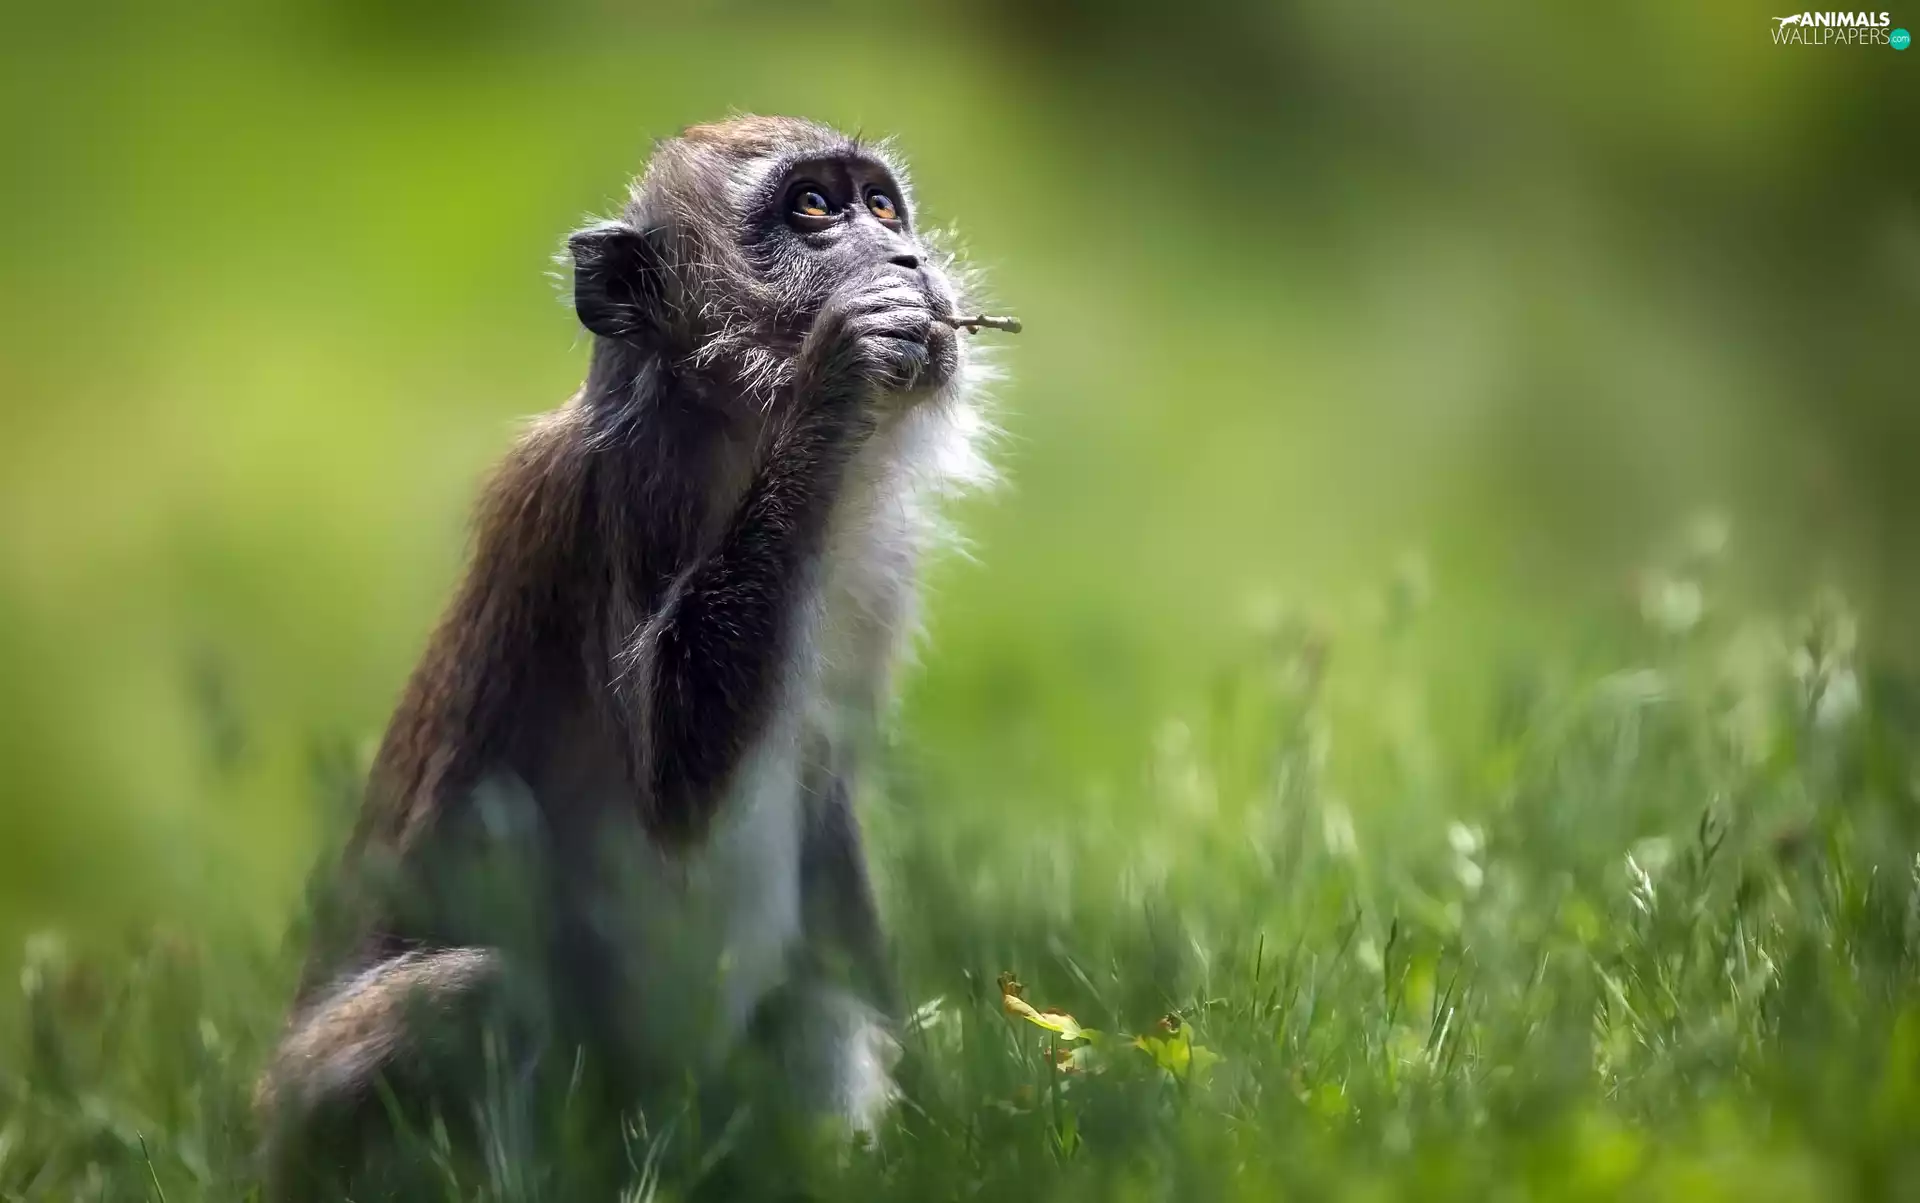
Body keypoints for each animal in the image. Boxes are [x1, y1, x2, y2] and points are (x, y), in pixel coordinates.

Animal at [253, 115, 996, 1198]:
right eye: (814, 208)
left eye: (882, 205)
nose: (907, 259)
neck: (739, 426)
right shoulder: (633, 495)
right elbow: (677, 776)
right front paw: (841, 369)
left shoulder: (881, 563)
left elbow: (823, 799)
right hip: (313, 1118)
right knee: (471, 996)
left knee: (809, 1003)